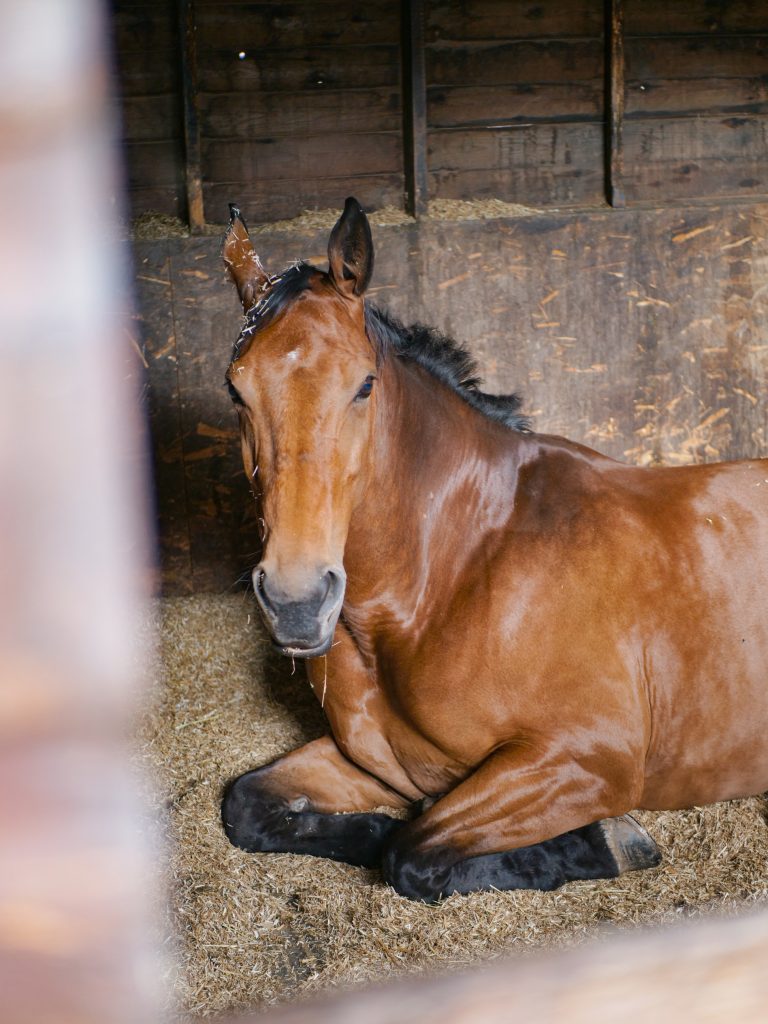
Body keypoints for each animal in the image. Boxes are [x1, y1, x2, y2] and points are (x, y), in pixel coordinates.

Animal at [220, 197, 768, 902]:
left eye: (364, 385)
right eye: (236, 389)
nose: (297, 602)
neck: (455, 575)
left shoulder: (587, 759)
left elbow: (410, 853)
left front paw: (607, 842)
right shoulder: (374, 762)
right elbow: (249, 804)